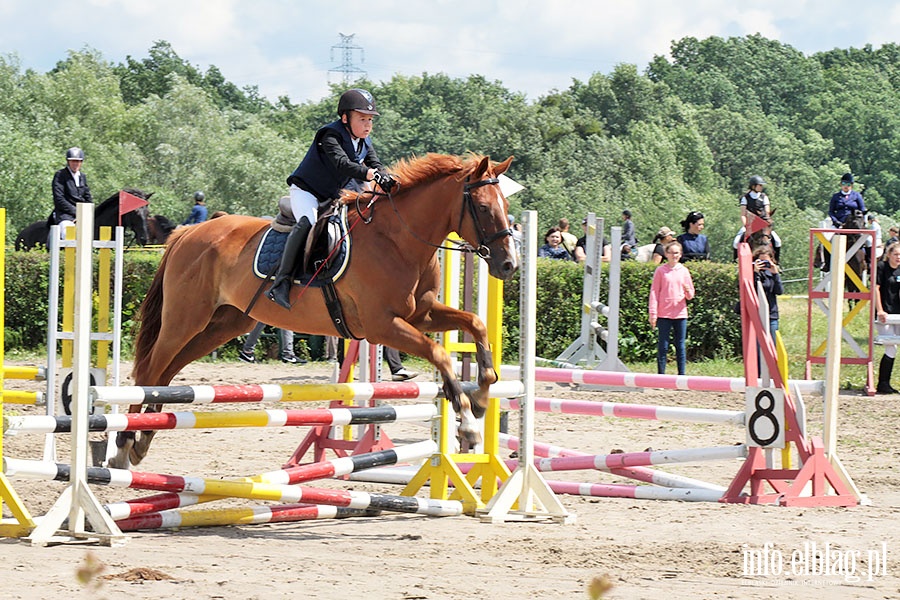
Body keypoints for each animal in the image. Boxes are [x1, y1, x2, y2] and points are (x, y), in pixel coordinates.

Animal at [110, 154, 520, 468]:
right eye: (484, 208)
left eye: (507, 208)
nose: (509, 266)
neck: (398, 239)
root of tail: (185, 234)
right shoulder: (383, 326)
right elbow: (439, 353)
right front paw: (468, 425)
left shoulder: (423, 314)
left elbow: (476, 324)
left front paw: (481, 398)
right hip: (184, 319)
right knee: (151, 369)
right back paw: (124, 444)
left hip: (221, 324)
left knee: (167, 372)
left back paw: (142, 440)